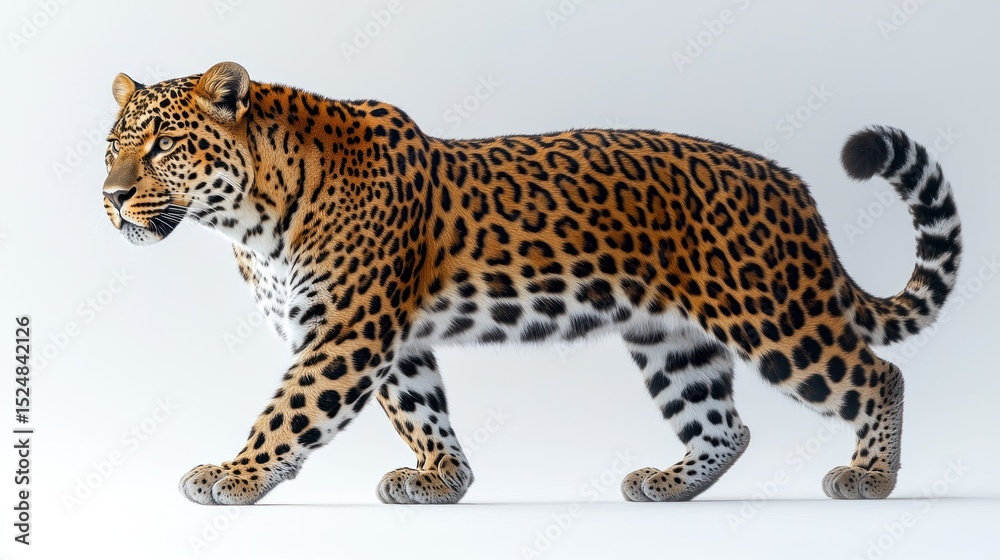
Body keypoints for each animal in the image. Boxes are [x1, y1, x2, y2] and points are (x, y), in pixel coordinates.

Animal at [101, 61, 962, 505]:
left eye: (162, 147)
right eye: (113, 146)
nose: (109, 197)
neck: (249, 215)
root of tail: (793, 185)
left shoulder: (346, 331)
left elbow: (288, 412)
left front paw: (233, 475)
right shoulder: (389, 337)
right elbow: (421, 411)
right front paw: (444, 480)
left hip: (774, 312)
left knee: (877, 376)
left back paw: (871, 476)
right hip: (671, 340)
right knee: (725, 424)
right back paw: (669, 485)